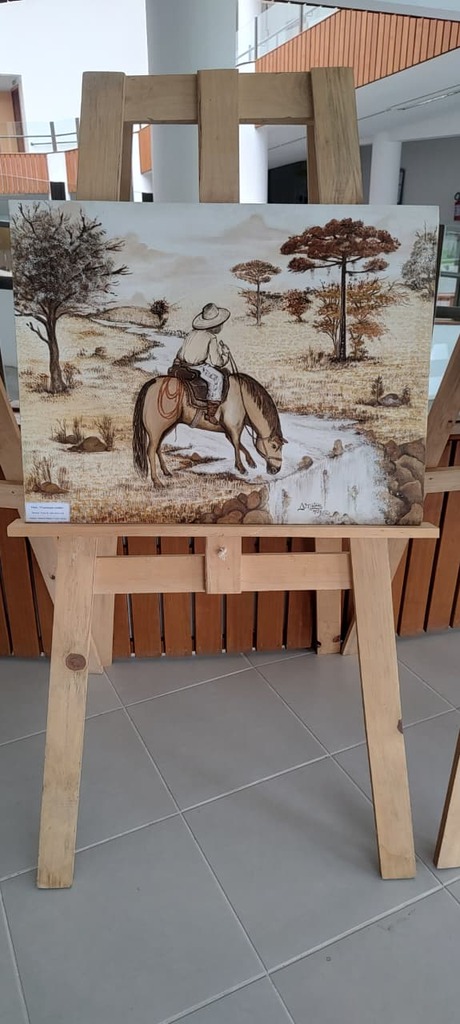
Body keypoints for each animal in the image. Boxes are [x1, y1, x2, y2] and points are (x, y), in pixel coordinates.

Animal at [132, 372, 286, 487]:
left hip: (167, 427)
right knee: (151, 450)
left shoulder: (229, 430)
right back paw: (157, 481)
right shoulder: (234, 427)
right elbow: (237, 444)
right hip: (157, 429)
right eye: (274, 446)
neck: (243, 399)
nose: (276, 469)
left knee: (158, 448)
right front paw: (241, 468)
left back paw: (166, 472)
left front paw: (251, 462)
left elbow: (238, 444)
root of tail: (152, 383)